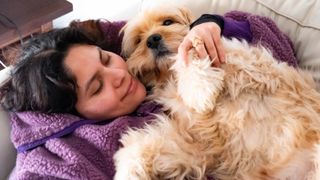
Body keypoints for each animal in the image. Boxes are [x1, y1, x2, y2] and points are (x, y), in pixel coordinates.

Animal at [113, 6, 320, 179]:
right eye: (138, 40)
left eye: (167, 22)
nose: (152, 39)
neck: (170, 78)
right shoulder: (198, 144)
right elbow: (140, 148)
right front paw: (128, 172)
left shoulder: (247, 62)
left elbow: (187, 50)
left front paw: (199, 94)